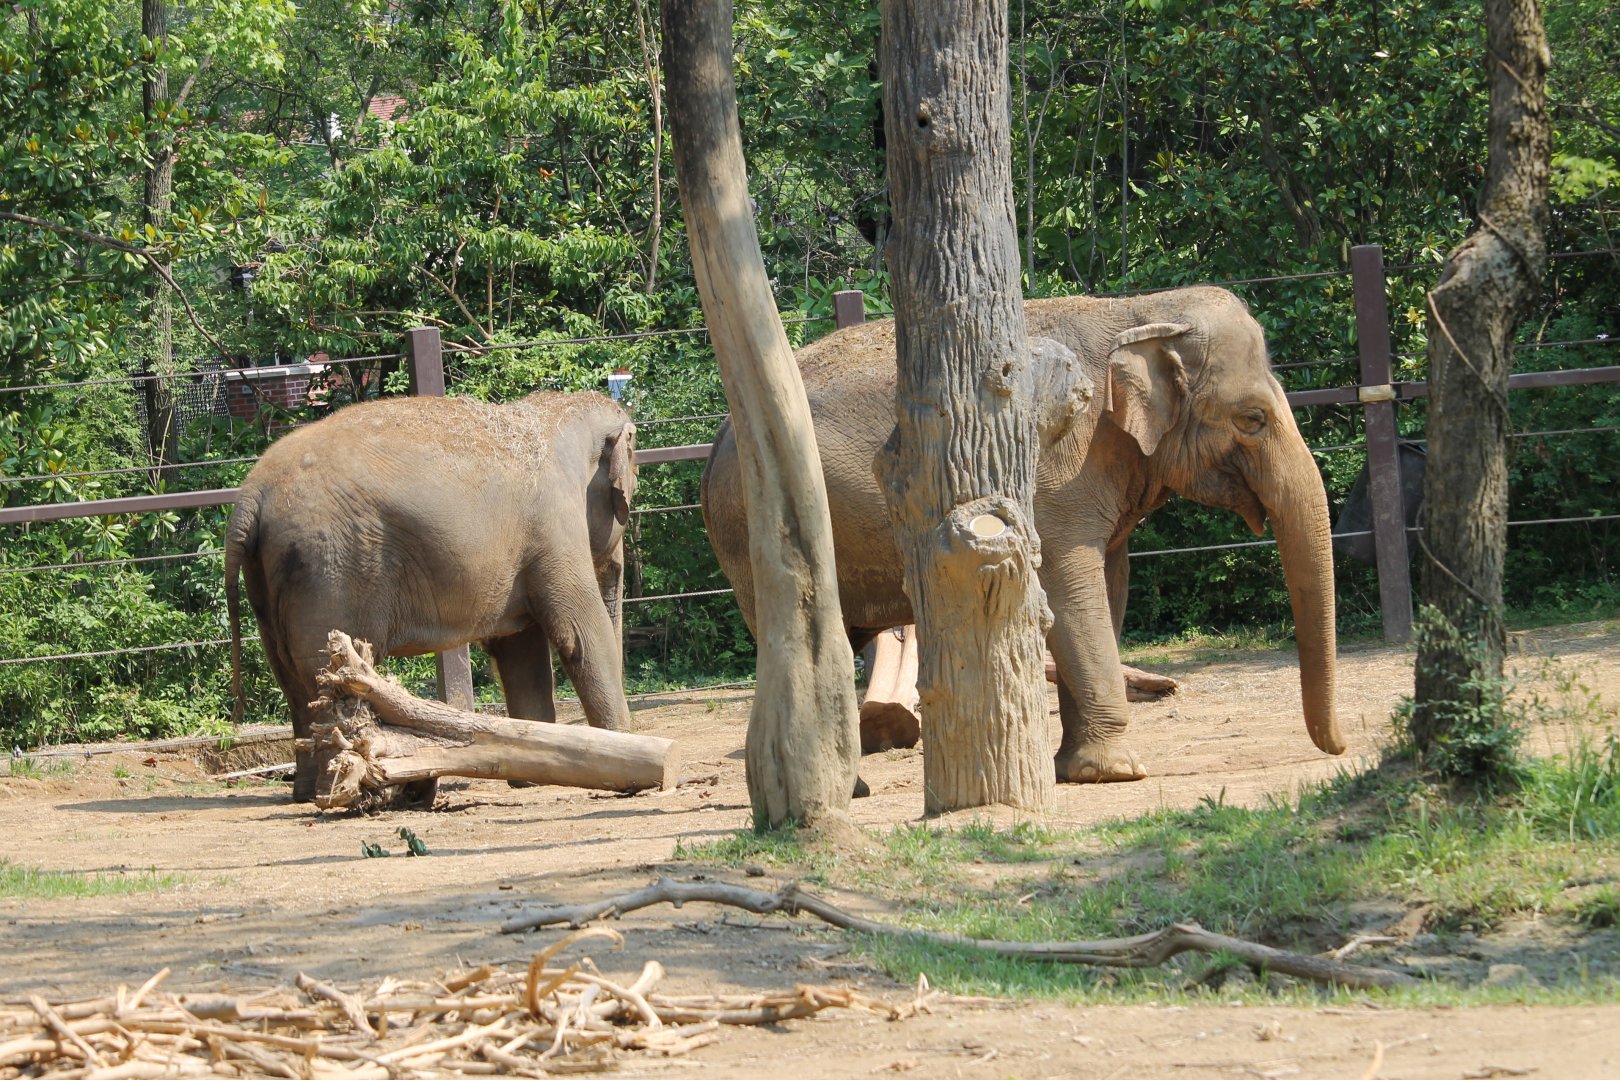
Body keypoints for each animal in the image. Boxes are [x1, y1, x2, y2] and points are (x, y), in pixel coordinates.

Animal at [225, 391, 637, 803]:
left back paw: (308, 792)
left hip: (271, 577)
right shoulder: (556, 526)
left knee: (288, 673)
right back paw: (344, 790)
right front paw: (626, 754)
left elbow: (519, 649)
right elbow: (579, 635)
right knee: (320, 670)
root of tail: (251, 495)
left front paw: (532, 774)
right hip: (326, 568)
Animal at [701, 287, 1345, 783]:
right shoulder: (1061, 465)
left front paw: (1078, 770)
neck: (1140, 310)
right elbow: (1069, 584)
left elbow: (1107, 586)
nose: (1336, 747)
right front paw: (1119, 772)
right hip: (756, 533)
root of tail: (717, 440)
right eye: (1252, 419)